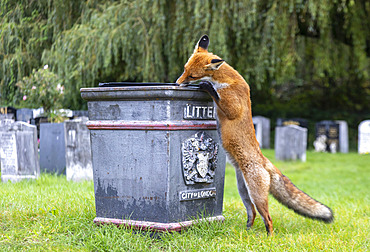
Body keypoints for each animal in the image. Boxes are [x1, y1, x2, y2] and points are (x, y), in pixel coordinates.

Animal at [175, 35, 334, 234]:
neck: (226, 80)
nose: (177, 83)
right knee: (253, 214)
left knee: (268, 218)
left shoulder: (233, 107)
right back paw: (247, 231)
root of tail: (264, 161)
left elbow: (216, 95)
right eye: (184, 69)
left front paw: (208, 86)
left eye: (192, 76)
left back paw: (268, 236)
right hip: (244, 192)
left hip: (256, 195)